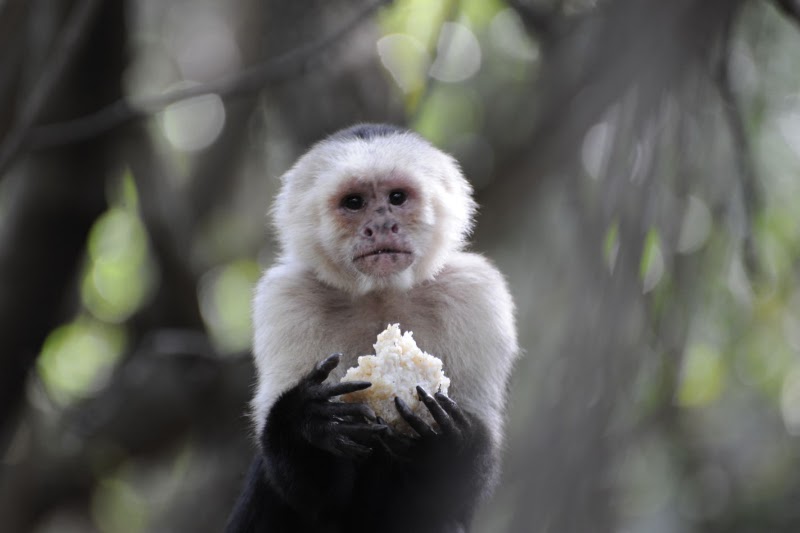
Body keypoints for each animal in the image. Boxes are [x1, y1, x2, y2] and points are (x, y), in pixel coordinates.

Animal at [225, 124, 519, 533]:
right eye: (354, 202)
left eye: (397, 198)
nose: (381, 225)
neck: (381, 293)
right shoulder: (286, 298)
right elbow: (307, 492)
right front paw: (308, 421)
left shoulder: (475, 293)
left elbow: (458, 489)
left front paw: (447, 442)